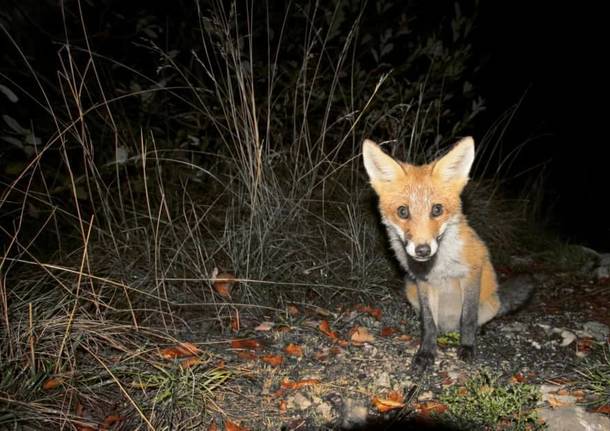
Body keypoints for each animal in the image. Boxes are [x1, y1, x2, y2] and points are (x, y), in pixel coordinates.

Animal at [360, 138, 532, 372]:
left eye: (437, 210)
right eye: (403, 211)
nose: (423, 250)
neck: (440, 266)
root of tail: (449, 328)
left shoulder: (471, 273)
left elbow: (468, 318)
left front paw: (467, 347)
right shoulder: (423, 283)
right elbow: (428, 324)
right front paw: (426, 352)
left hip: (491, 303)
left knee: (479, 320)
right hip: (410, 291)